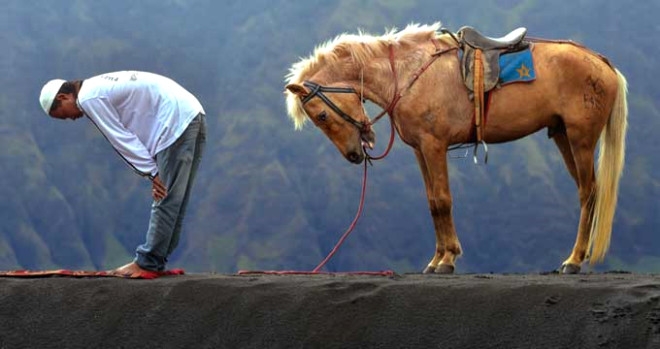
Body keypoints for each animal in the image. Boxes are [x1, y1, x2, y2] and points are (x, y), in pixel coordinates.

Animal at [282, 23, 624, 274]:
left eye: (321, 116)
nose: (354, 155)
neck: (406, 74)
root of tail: (602, 63)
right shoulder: (420, 149)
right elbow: (433, 202)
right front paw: (438, 259)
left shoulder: (434, 145)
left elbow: (444, 200)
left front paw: (447, 260)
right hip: (563, 136)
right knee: (587, 191)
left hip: (581, 138)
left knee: (588, 192)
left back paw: (574, 260)